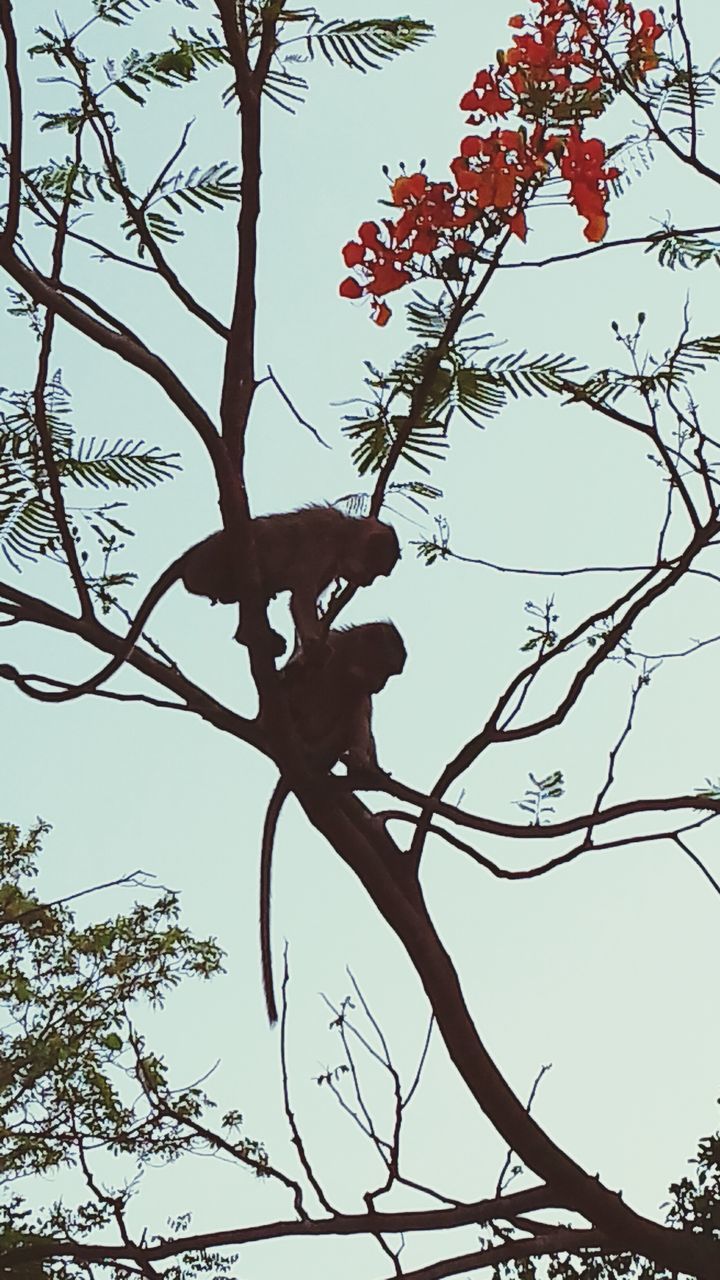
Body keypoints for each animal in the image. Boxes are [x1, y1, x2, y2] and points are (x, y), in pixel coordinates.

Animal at [26, 506, 397, 706]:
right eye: (377, 567)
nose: (368, 582)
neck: (345, 534)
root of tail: (195, 553)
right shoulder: (322, 545)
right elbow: (301, 599)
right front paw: (317, 650)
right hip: (215, 561)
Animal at [258, 624, 407, 1024]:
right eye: (387, 670)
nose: (382, 686)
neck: (345, 666)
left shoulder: (357, 688)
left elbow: (360, 715)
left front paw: (368, 766)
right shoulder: (325, 650)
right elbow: (292, 677)